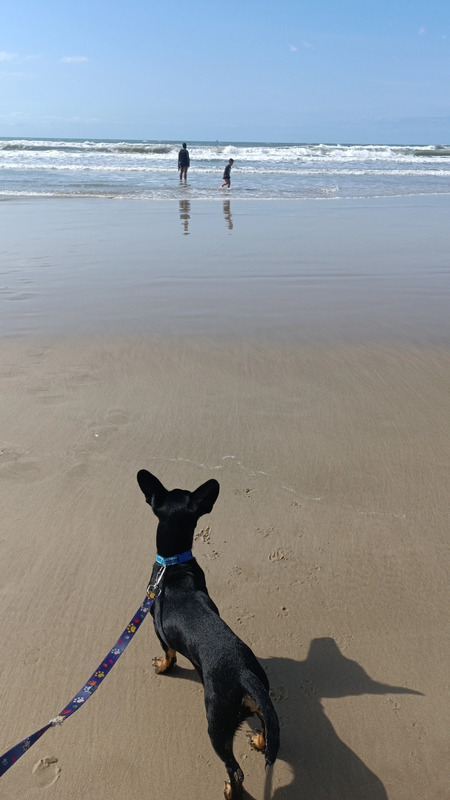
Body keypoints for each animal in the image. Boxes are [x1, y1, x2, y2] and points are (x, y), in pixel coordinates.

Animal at [137, 469, 280, 799]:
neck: (173, 564)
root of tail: (245, 675)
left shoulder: (159, 631)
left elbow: (169, 655)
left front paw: (162, 667)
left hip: (217, 725)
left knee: (235, 770)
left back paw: (231, 791)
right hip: (258, 705)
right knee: (266, 729)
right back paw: (258, 741)